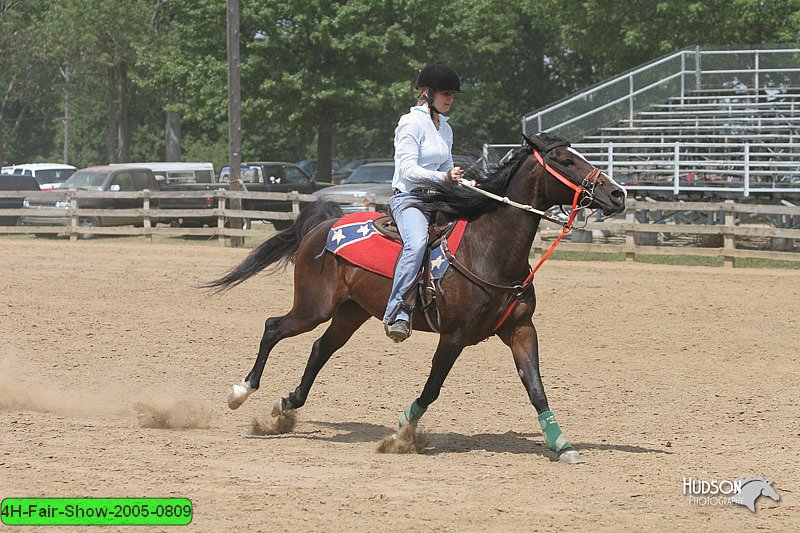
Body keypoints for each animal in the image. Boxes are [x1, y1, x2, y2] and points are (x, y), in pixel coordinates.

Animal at [203, 132, 628, 462]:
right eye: (566, 160)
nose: (618, 194)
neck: (487, 250)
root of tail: (322, 225)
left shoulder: (521, 330)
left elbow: (536, 387)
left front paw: (562, 444)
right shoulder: (454, 336)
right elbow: (433, 387)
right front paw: (400, 433)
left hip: (350, 312)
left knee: (320, 349)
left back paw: (286, 406)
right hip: (313, 307)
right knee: (273, 328)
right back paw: (241, 392)